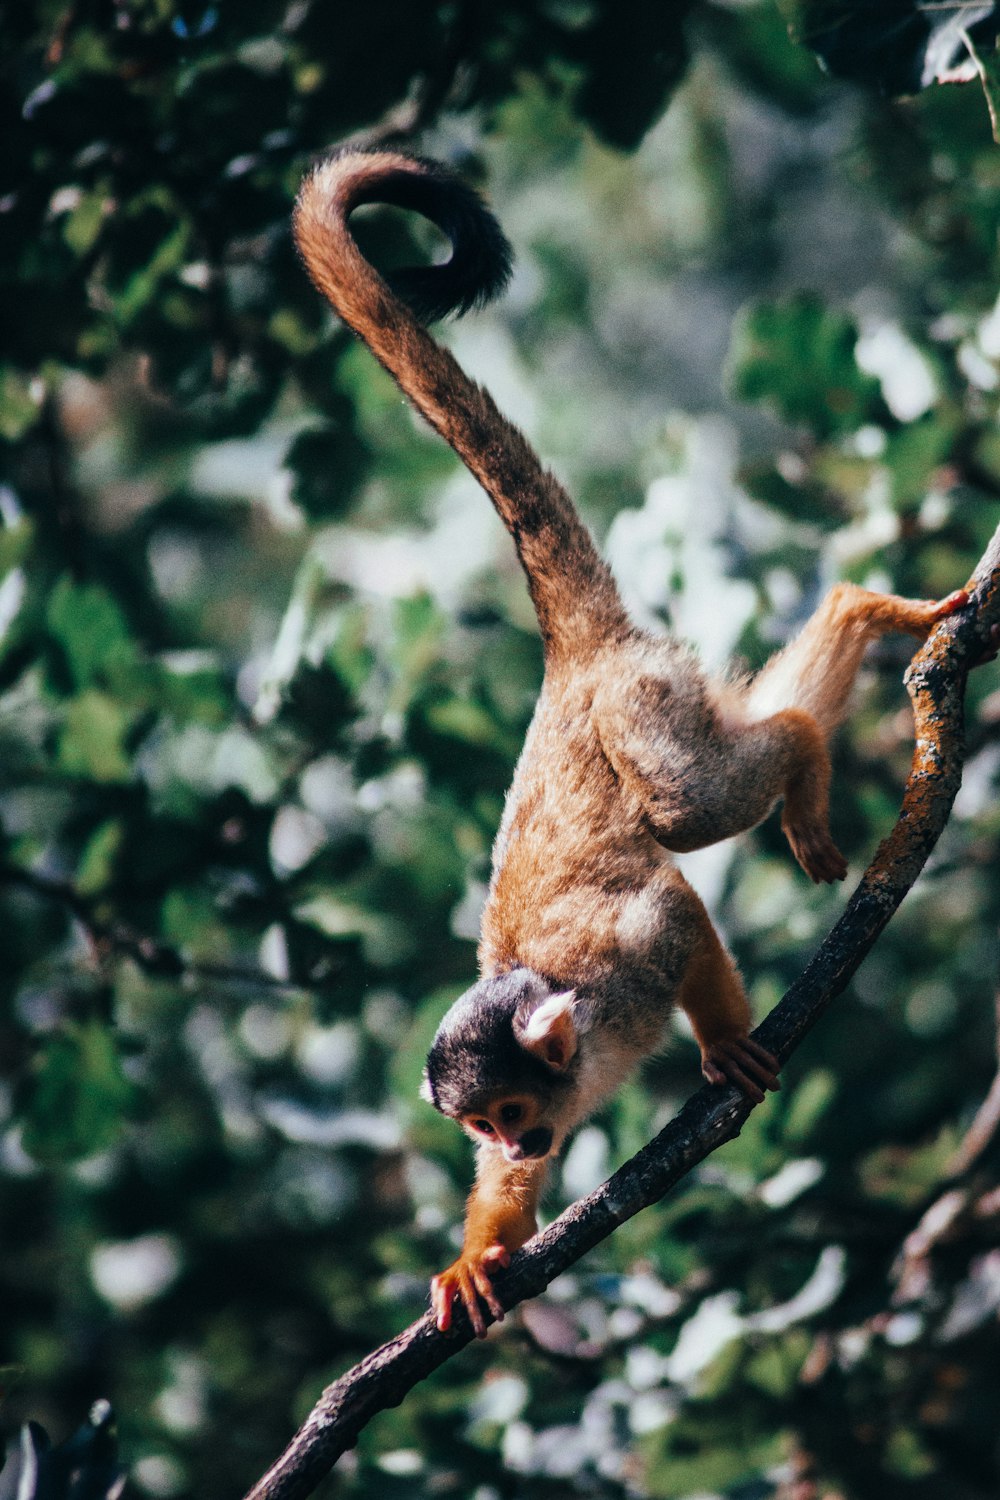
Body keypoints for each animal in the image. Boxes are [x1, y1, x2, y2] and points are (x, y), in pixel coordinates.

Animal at [293, 149, 971, 1338]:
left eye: (511, 1104)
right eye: (484, 1128)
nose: (519, 1137)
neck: (582, 1055)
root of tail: (572, 660)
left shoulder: (621, 970)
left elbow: (673, 908)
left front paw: (723, 1045)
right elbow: (504, 1207)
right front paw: (478, 1253)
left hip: (640, 702)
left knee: (687, 808)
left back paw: (804, 746)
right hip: (651, 692)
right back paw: (854, 616)